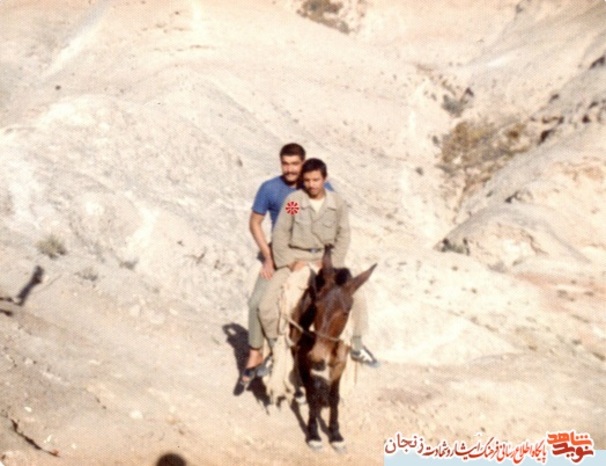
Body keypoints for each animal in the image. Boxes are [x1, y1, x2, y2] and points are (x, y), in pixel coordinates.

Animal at [289, 246, 376, 451]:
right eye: (316, 305)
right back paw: (299, 391)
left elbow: (334, 396)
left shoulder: (340, 363)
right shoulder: (305, 357)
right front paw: (313, 434)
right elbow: (312, 394)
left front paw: (335, 434)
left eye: (346, 311)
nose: (318, 357)